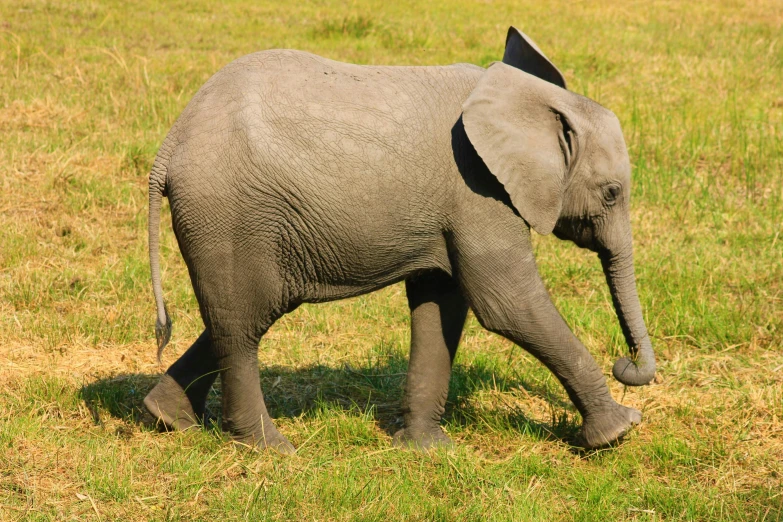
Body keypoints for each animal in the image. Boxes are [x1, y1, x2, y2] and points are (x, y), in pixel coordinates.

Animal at [145, 25, 656, 450]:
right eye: (612, 193)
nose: (626, 365)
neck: (527, 97)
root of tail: (170, 144)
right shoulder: (478, 190)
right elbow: (508, 305)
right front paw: (619, 432)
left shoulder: (455, 206)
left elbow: (442, 302)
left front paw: (427, 450)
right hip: (231, 214)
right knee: (243, 325)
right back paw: (269, 450)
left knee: (239, 316)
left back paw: (169, 418)